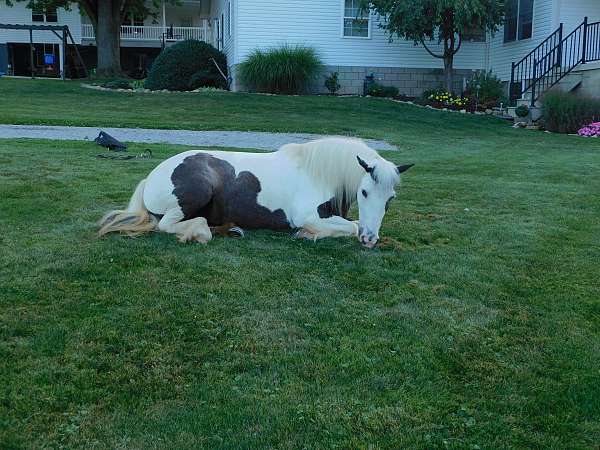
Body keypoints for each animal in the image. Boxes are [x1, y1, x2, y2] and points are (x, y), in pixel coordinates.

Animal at [98, 137, 414, 250]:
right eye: (364, 192)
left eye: (390, 199)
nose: (370, 240)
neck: (316, 172)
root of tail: (152, 176)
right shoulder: (306, 215)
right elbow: (350, 227)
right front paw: (307, 234)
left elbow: (352, 224)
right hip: (194, 194)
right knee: (166, 225)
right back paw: (200, 232)